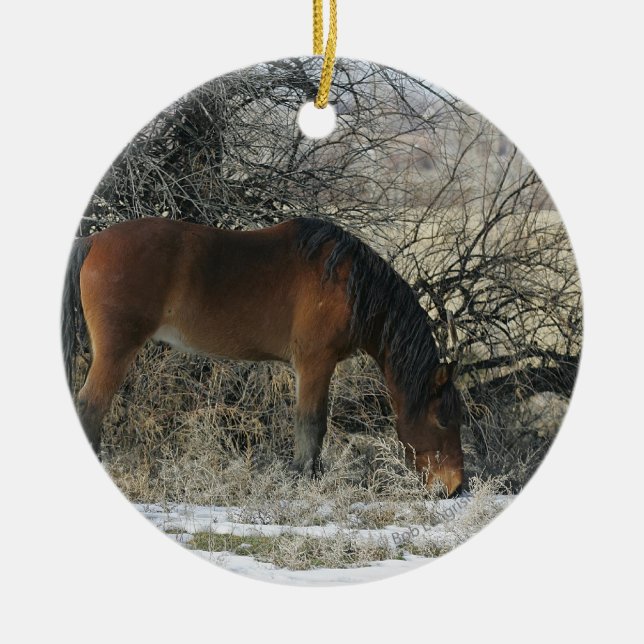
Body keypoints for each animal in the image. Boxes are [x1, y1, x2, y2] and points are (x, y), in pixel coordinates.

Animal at [62, 216, 464, 495]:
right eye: (443, 419)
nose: (456, 487)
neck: (349, 283)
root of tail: (94, 240)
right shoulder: (315, 363)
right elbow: (311, 424)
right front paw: (305, 479)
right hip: (116, 351)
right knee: (91, 405)